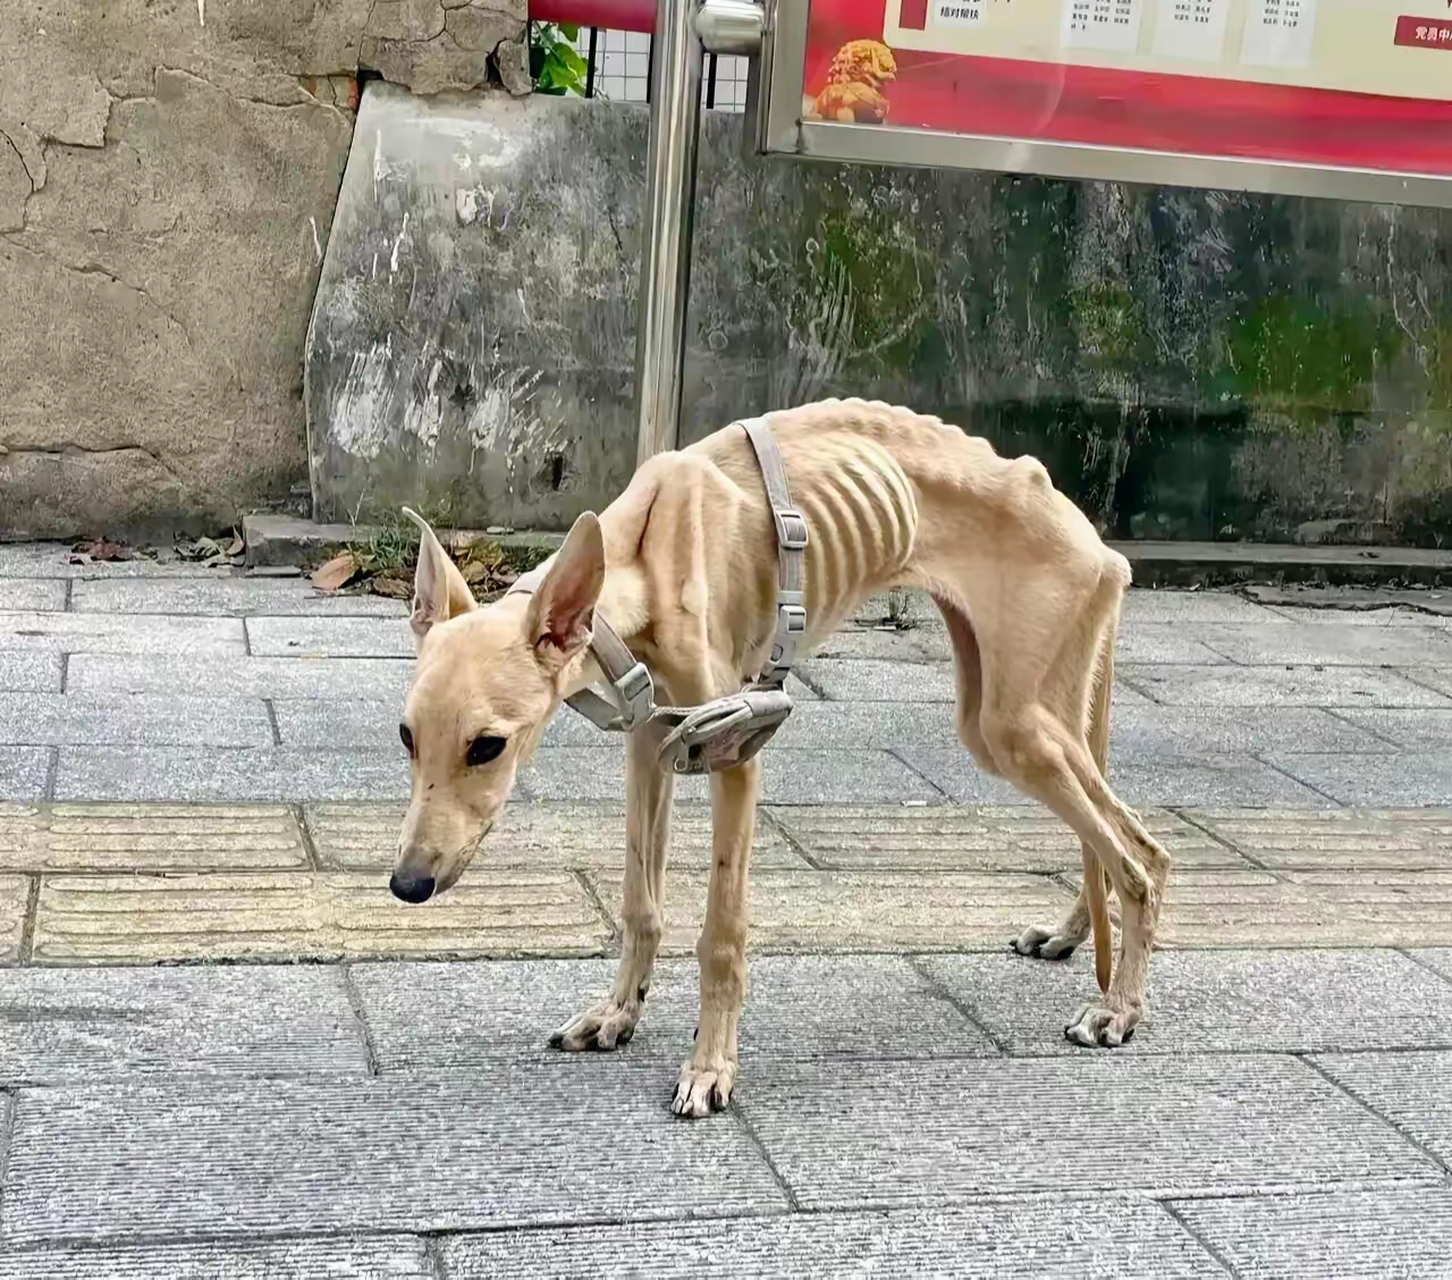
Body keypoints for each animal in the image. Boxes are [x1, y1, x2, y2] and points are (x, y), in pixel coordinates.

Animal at [392, 394, 1173, 1114]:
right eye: (406, 736)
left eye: (488, 745)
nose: (407, 886)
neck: (647, 548)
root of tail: (1101, 547)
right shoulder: (650, 746)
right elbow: (640, 904)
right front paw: (616, 1015)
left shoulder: (734, 755)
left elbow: (721, 934)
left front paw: (710, 1067)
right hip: (1020, 715)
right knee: (1110, 841)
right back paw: (1071, 937)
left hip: (1019, 725)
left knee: (1141, 858)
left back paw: (1119, 1008)